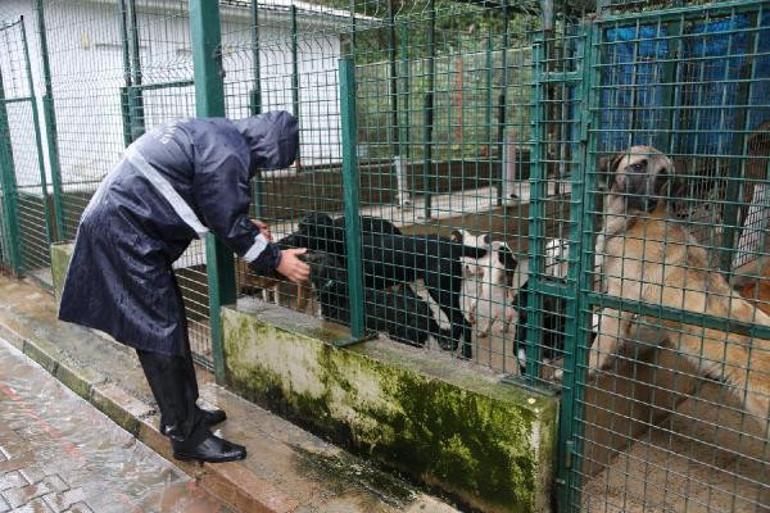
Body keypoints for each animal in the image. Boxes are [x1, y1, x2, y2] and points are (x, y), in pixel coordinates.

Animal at [588, 146, 768, 426]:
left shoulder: (618, 300)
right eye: (638, 166)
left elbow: (600, 343)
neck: (632, 222)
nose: (651, 200)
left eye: (664, 176)